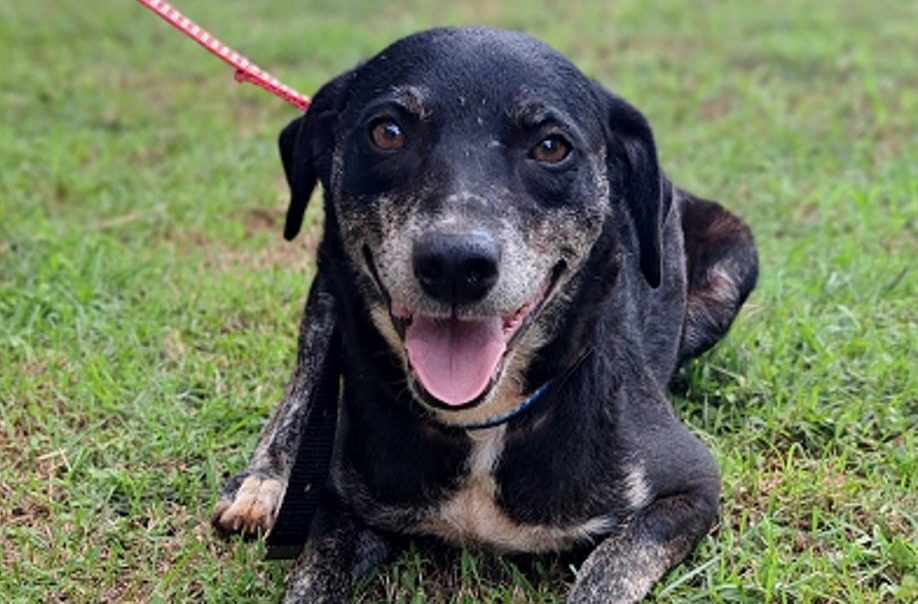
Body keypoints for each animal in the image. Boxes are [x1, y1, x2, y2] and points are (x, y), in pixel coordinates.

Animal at [212, 26, 760, 600]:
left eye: (551, 146)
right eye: (387, 132)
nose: (455, 264)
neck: (480, 419)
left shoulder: (691, 486)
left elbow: (610, 568)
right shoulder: (341, 496)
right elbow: (312, 577)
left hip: (734, 263)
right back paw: (265, 478)